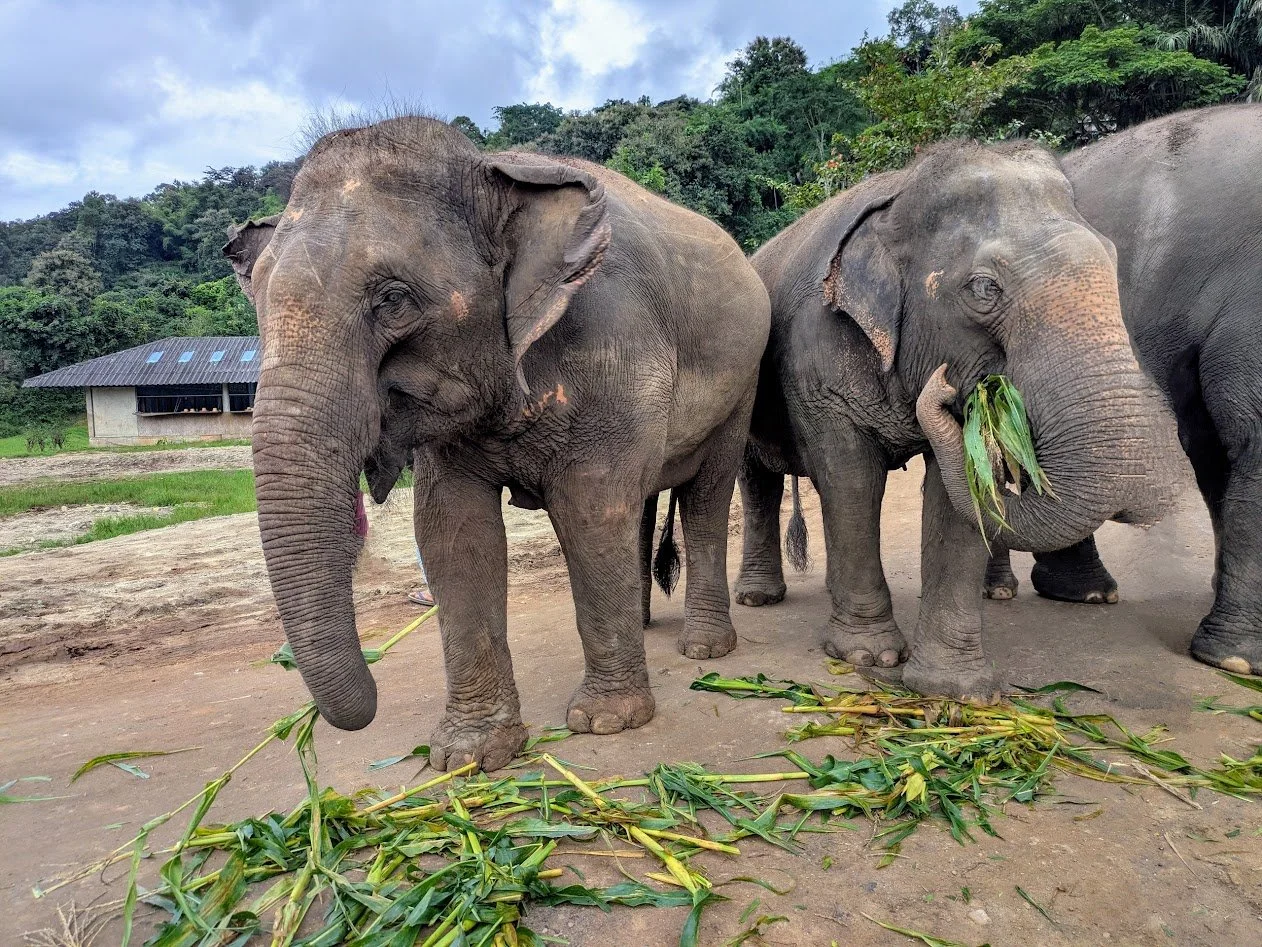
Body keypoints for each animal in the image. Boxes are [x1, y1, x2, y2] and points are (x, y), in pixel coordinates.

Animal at [223, 115, 771, 771]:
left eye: (393, 300)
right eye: (257, 302)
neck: (491, 173)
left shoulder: (615, 342)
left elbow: (590, 508)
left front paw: (607, 722)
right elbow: (452, 532)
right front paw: (468, 755)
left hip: (743, 380)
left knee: (705, 495)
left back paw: (705, 650)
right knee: (639, 504)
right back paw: (644, 628)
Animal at [734, 139, 1176, 701]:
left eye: (1115, 262)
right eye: (984, 289)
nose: (944, 383)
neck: (901, 191)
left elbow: (960, 489)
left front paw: (957, 690)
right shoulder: (818, 355)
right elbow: (851, 478)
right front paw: (868, 656)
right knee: (757, 481)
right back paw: (757, 598)